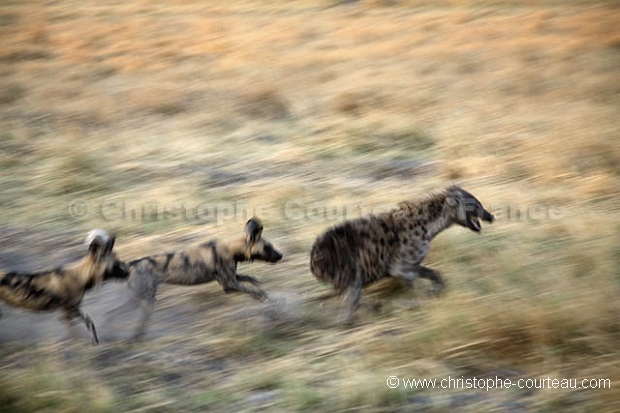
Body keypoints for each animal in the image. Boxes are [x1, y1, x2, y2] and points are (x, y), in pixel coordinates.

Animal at [0, 229, 128, 344]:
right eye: (116, 264)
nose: (128, 272)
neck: (79, 277)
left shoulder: (71, 311)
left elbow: (89, 323)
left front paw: (94, 342)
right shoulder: (69, 311)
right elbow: (79, 329)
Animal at [105, 216, 282, 338]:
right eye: (268, 247)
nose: (280, 255)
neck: (231, 249)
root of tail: (131, 264)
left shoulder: (231, 279)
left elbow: (250, 279)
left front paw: (260, 288)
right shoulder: (229, 285)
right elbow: (253, 290)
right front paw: (265, 297)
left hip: (140, 298)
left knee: (114, 313)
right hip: (143, 299)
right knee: (125, 316)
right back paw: (130, 336)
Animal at [310, 186, 494, 322]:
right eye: (476, 205)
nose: (490, 216)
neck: (429, 227)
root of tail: (313, 257)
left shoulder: (410, 264)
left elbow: (434, 274)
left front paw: (436, 290)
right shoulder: (401, 268)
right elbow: (415, 290)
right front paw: (417, 304)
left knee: (349, 300)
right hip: (351, 271)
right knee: (351, 302)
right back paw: (364, 312)